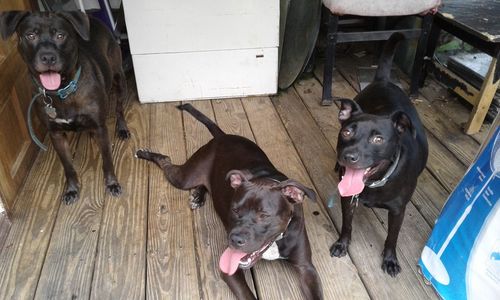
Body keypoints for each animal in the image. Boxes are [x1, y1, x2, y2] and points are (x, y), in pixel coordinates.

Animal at [0, 11, 129, 204]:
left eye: (60, 35)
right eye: (30, 35)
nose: (48, 57)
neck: (62, 91)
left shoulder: (100, 127)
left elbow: (107, 160)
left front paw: (112, 183)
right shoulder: (56, 135)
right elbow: (68, 166)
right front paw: (72, 190)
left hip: (118, 79)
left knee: (119, 108)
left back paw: (122, 128)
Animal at [137, 103, 322, 300]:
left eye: (264, 215)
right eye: (235, 210)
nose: (235, 239)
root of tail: (222, 136)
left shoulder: (307, 268)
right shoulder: (230, 269)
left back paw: (197, 195)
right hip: (184, 177)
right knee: (166, 160)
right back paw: (145, 154)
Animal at [330, 32, 428, 276]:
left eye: (378, 139)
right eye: (347, 132)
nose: (349, 157)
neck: (375, 183)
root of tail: (383, 80)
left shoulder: (398, 211)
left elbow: (392, 237)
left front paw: (390, 259)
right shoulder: (348, 199)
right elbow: (347, 225)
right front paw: (342, 244)